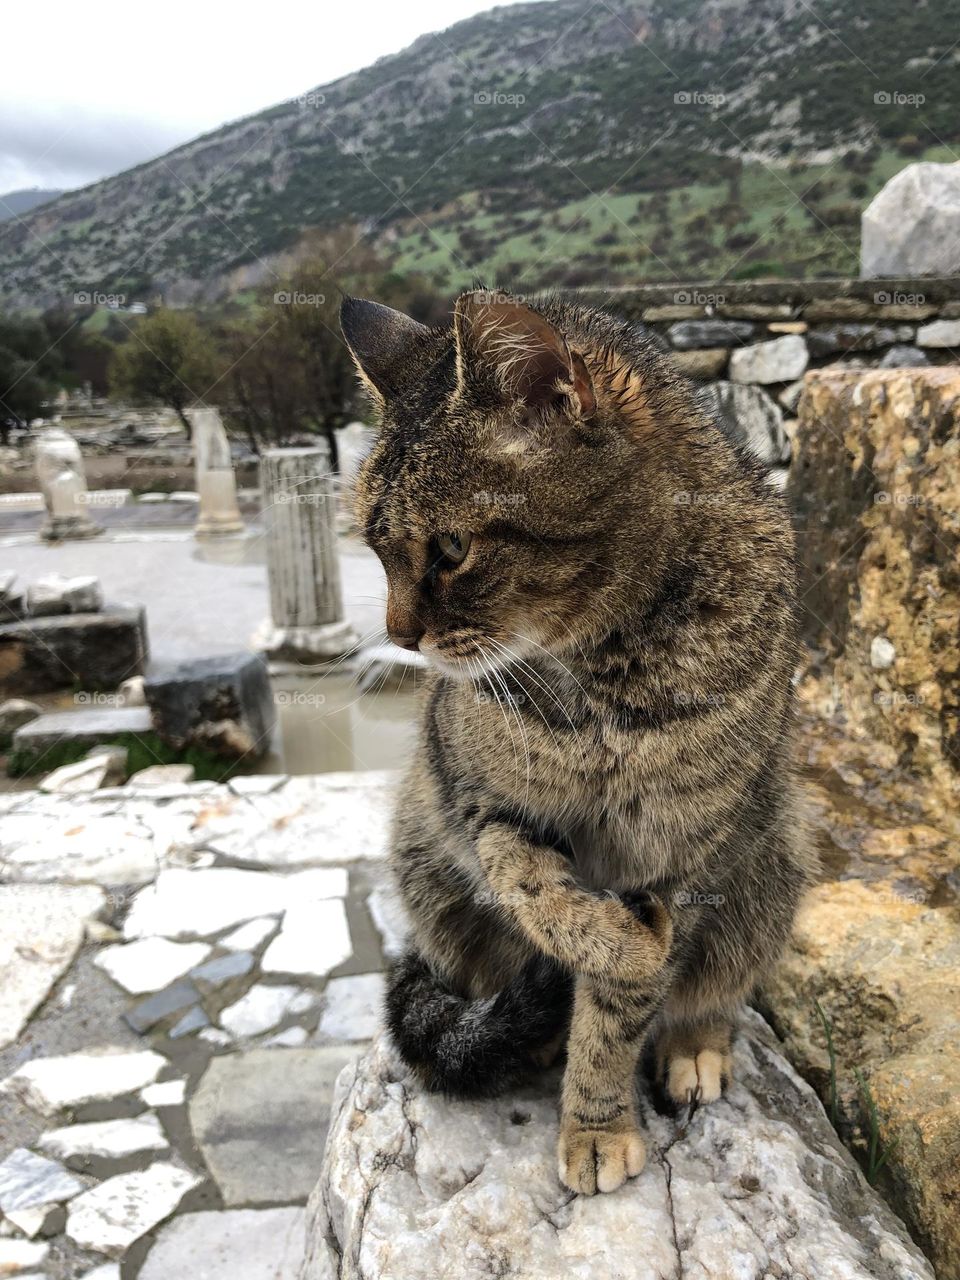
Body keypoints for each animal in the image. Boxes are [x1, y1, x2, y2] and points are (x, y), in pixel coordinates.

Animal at [343, 293, 814, 1198]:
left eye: (450, 550)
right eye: (375, 551)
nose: (400, 638)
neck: (605, 681)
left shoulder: (681, 848)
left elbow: (620, 1016)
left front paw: (597, 1123)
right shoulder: (482, 800)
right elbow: (534, 887)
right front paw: (620, 943)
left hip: (772, 869)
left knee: (716, 990)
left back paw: (693, 1044)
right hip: (425, 861)